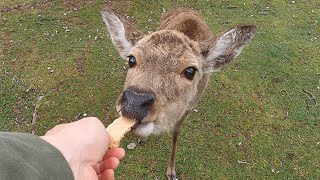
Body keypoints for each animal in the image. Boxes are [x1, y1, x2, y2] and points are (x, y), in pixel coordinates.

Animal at [101, 7, 256, 180]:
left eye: (190, 71)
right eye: (131, 59)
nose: (135, 101)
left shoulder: (189, 106)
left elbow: (176, 132)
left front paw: (171, 172)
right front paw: (143, 140)